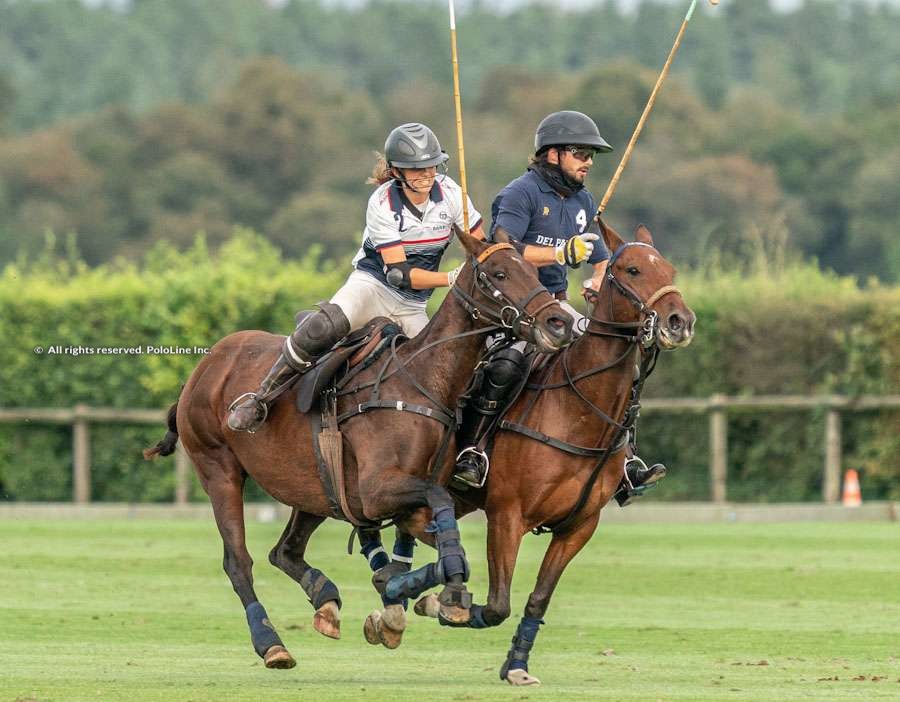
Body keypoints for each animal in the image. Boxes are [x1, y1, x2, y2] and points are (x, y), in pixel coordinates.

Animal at [144, 230, 572, 672]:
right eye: (498, 273)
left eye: (534, 270)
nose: (558, 322)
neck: (422, 384)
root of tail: (204, 367)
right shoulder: (376, 491)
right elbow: (441, 514)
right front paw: (433, 592)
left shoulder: (402, 503)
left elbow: (442, 543)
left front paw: (407, 591)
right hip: (219, 468)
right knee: (238, 562)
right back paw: (272, 644)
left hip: (315, 485)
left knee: (285, 551)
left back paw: (325, 600)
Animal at [414, 224, 696, 688]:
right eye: (632, 270)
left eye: (669, 269)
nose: (681, 322)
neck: (577, 406)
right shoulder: (506, 514)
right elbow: (497, 603)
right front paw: (444, 605)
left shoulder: (578, 527)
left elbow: (538, 599)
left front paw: (516, 664)